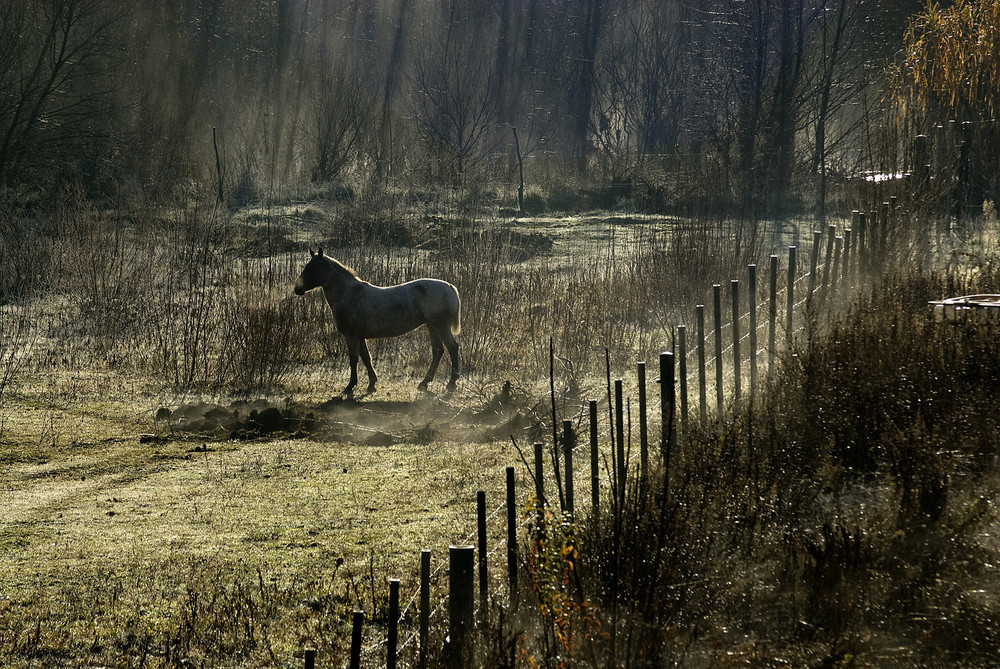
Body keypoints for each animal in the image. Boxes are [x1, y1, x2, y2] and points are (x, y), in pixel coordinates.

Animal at [292, 250, 458, 396]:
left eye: (313, 268)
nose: (297, 289)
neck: (348, 293)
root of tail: (450, 287)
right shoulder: (360, 337)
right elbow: (366, 358)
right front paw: (371, 384)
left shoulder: (352, 336)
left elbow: (354, 360)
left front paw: (350, 386)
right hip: (432, 326)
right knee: (438, 351)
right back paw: (424, 383)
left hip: (441, 327)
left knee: (452, 348)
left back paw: (451, 383)